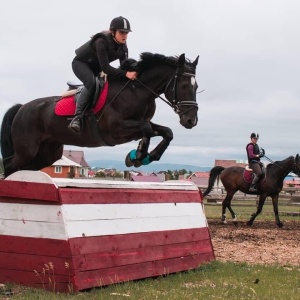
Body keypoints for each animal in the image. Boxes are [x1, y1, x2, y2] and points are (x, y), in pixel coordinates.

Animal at [1, 52, 202, 177]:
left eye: (197, 86)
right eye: (184, 85)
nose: (191, 120)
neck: (137, 90)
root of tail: (22, 108)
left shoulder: (140, 122)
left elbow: (166, 132)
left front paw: (147, 156)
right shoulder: (116, 129)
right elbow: (147, 130)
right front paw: (137, 156)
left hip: (48, 152)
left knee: (24, 168)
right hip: (27, 149)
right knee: (11, 166)